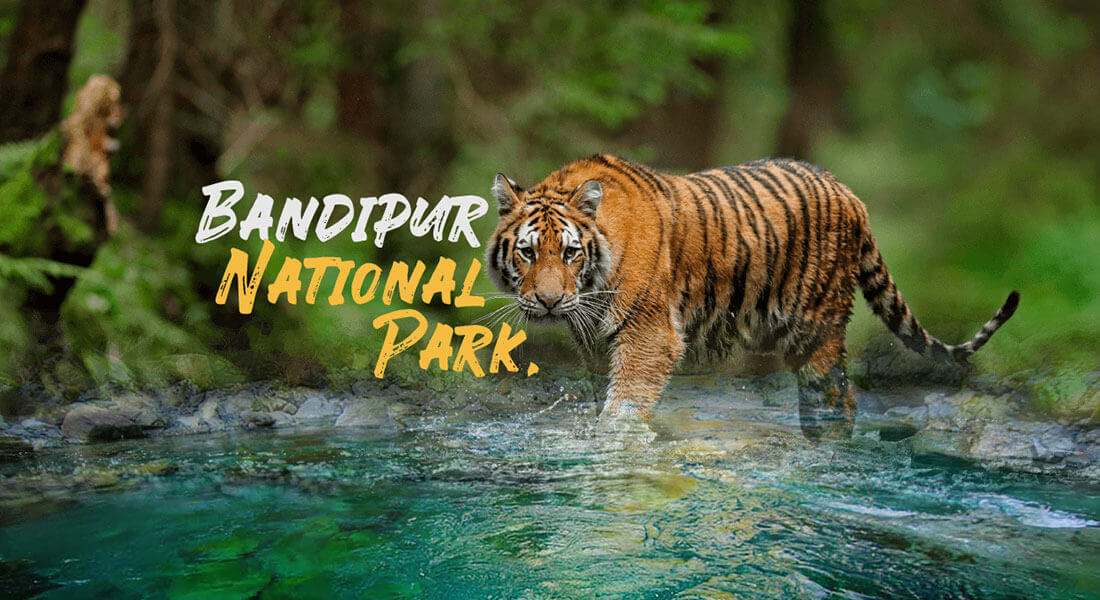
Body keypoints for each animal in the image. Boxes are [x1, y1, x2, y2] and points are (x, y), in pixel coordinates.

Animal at [485, 154, 1019, 439]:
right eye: (528, 253)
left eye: (570, 253)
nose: (549, 301)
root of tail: (849, 193)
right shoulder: (597, 342)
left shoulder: (649, 336)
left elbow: (624, 407)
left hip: (817, 328)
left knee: (838, 399)